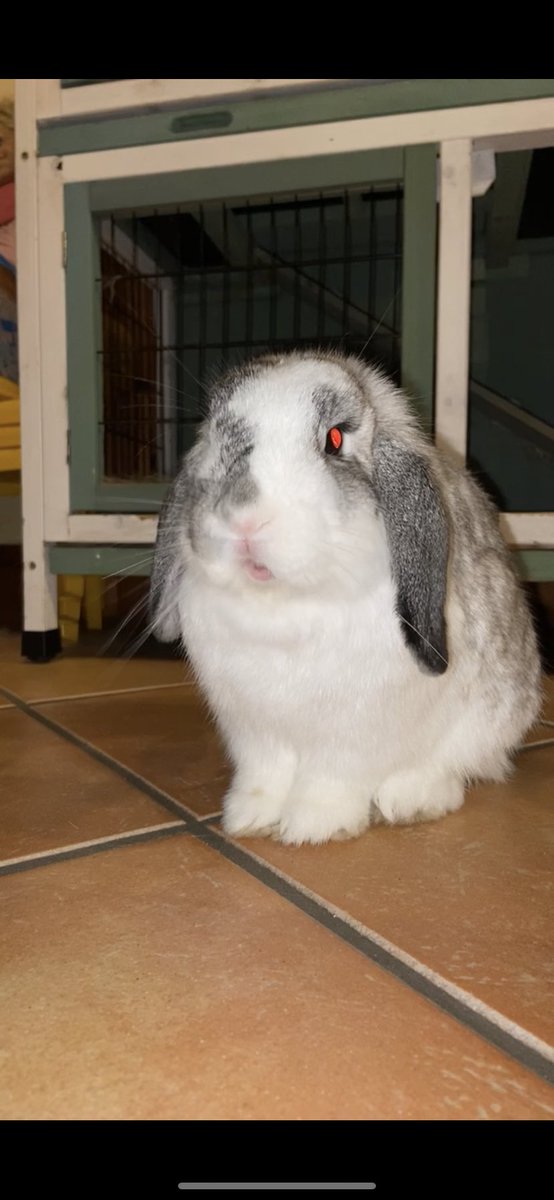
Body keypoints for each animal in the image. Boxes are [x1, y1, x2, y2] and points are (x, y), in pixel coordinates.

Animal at [149, 351, 541, 845]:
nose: (243, 520)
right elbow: (265, 775)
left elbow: (330, 780)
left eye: (334, 440)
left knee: (455, 765)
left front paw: (313, 826)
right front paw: (249, 818)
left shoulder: (351, 737)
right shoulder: (254, 733)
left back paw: (411, 800)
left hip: (489, 720)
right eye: (214, 433)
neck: (282, 607)